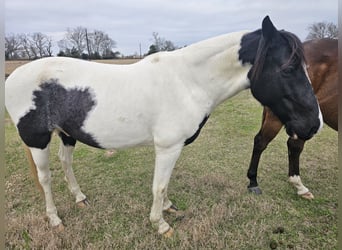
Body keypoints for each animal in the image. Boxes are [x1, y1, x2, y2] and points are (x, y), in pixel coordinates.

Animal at [4, 16, 324, 237]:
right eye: (288, 69)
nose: (314, 125)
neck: (187, 81)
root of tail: (14, 76)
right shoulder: (167, 147)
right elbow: (158, 185)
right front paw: (160, 224)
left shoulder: (174, 147)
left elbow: (165, 184)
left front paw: (169, 208)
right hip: (37, 139)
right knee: (45, 178)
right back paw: (55, 219)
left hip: (67, 134)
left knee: (66, 163)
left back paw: (80, 198)